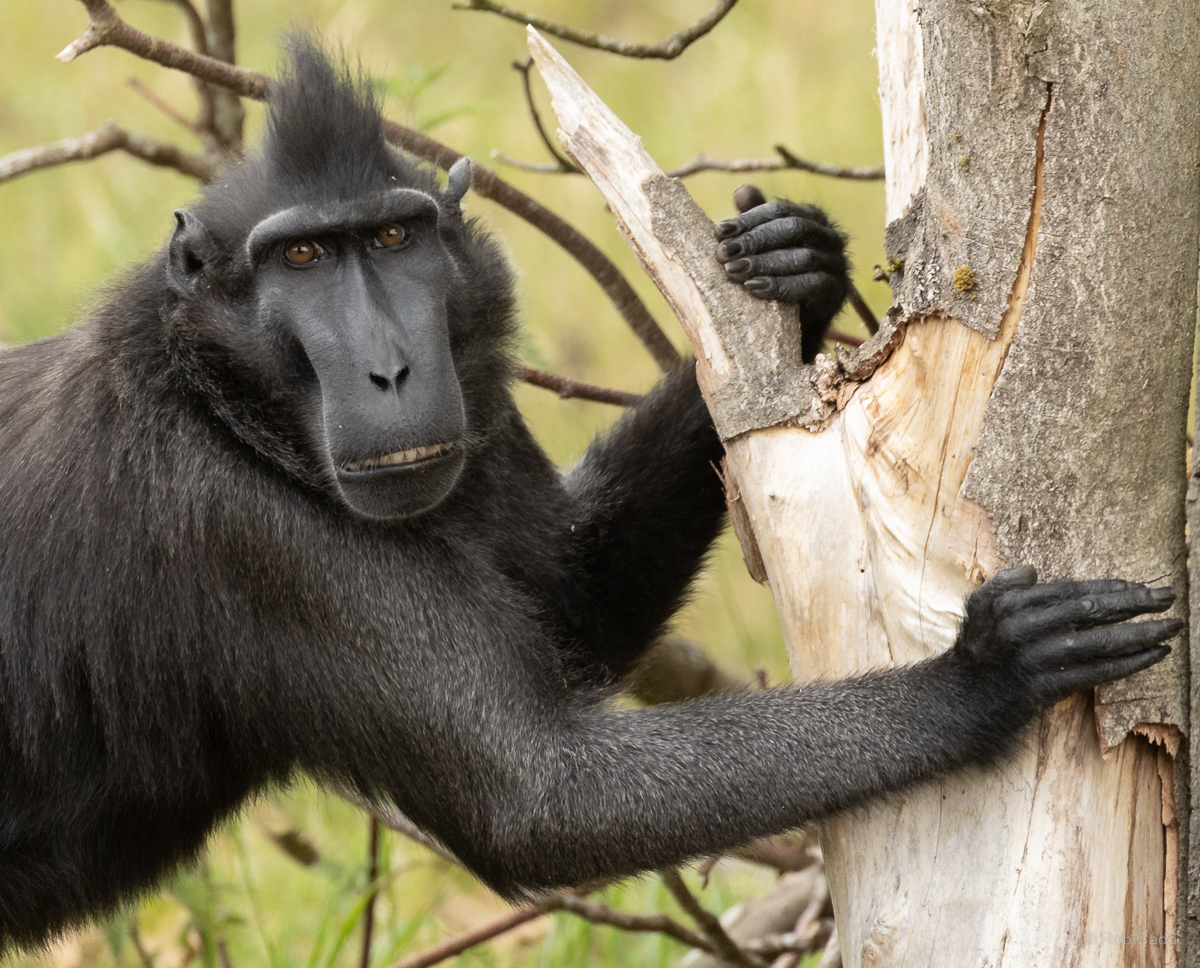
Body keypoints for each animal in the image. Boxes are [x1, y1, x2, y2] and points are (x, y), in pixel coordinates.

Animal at [0, 40, 1178, 949]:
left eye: (392, 238)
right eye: (298, 258)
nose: (390, 369)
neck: (223, 398)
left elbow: (575, 607)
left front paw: (797, 266)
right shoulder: (225, 520)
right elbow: (545, 799)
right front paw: (982, 674)